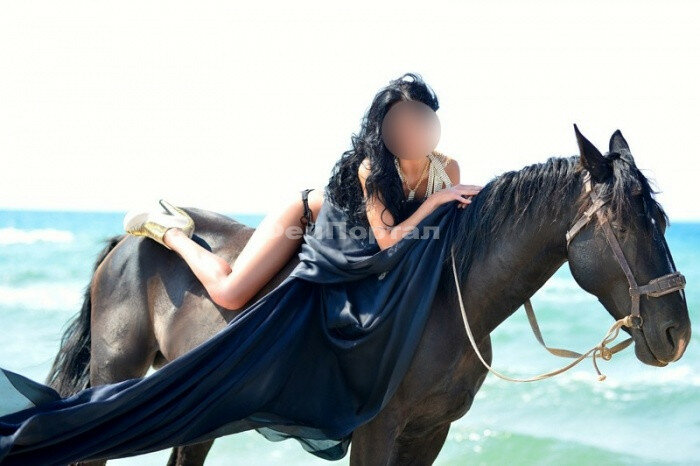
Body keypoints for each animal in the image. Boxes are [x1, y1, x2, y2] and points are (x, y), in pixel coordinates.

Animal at [45, 126, 691, 465]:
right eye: (629, 223)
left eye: (662, 222)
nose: (676, 335)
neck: (445, 300)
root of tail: (121, 250)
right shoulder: (376, 431)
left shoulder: (431, 433)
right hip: (117, 375)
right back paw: (160, 221)